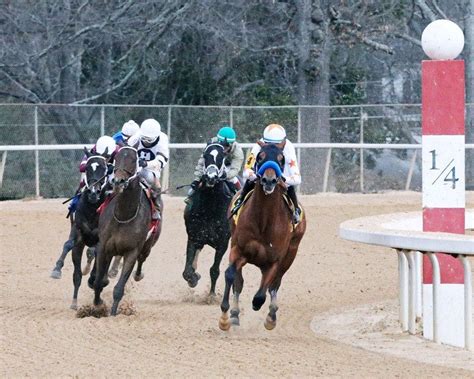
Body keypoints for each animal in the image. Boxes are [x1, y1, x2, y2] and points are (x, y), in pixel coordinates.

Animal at [50, 147, 109, 310]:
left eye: (104, 169)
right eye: (86, 168)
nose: (94, 192)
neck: (93, 208)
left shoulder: (100, 238)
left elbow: (96, 255)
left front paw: (94, 279)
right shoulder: (78, 234)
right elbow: (70, 247)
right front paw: (74, 302)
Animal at [89, 147, 163, 316]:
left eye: (134, 159)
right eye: (116, 158)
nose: (119, 181)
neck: (123, 215)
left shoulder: (132, 252)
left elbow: (119, 289)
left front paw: (112, 313)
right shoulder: (103, 247)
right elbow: (98, 282)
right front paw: (97, 305)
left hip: (148, 245)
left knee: (142, 259)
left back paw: (138, 275)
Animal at [182, 144, 232, 296]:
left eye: (222, 157)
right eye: (205, 156)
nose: (211, 177)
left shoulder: (223, 243)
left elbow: (214, 270)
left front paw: (211, 295)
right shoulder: (194, 237)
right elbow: (187, 271)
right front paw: (194, 278)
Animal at [219, 142, 308, 330]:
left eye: (282, 159)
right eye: (260, 157)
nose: (269, 180)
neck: (264, 221)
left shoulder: (274, 260)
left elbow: (262, 293)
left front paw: (263, 310)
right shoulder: (238, 249)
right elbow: (230, 275)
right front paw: (225, 318)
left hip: (291, 252)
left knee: (275, 284)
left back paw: (271, 315)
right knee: (239, 281)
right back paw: (235, 314)